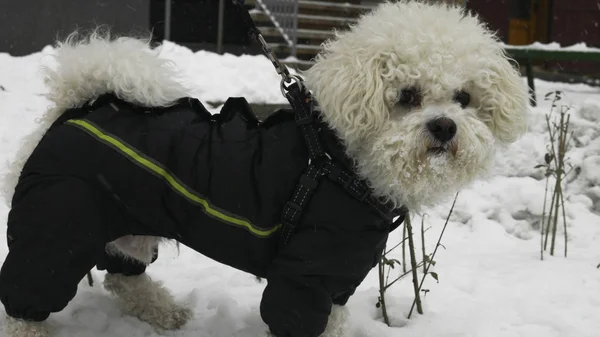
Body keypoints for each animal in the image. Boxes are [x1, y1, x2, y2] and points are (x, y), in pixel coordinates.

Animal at [0, 0, 524, 336]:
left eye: (464, 98)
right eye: (407, 96)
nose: (445, 127)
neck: (339, 162)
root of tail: (73, 107)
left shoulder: (336, 281)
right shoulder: (303, 278)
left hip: (121, 224)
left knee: (121, 276)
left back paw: (164, 314)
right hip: (59, 228)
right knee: (27, 300)